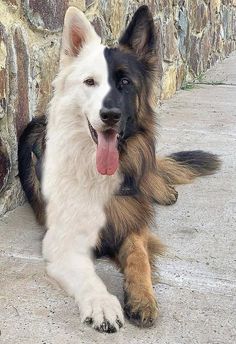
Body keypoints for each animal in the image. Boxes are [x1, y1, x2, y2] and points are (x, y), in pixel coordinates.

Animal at [17, 6, 220, 334]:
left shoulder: (131, 222)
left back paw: (163, 189)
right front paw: (102, 304)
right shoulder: (64, 241)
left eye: (125, 83)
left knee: (151, 173)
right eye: (90, 82)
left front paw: (142, 297)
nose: (109, 115)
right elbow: (88, 275)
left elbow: (139, 257)